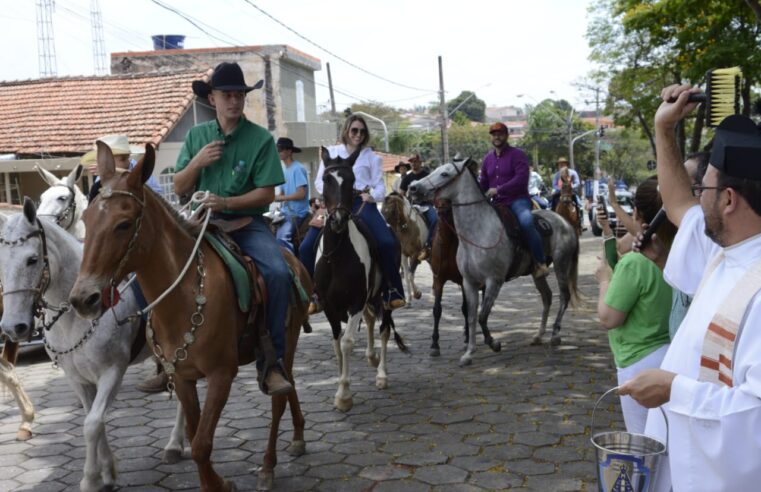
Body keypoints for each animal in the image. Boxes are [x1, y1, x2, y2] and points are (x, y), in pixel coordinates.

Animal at [69, 143, 312, 492]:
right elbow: (197, 435)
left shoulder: (222, 375)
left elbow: (200, 445)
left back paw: (268, 466)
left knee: (279, 396)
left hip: (287, 342)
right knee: (289, 389)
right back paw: (298, 436)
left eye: (124, 224)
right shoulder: (182, 377)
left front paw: (222, 483)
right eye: (87, 219)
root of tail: (294, 261)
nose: (82, 298)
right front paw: (214, 482)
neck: (182, 299)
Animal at [406, 158, 580, 366]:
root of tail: (565, 223)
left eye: (445, 173)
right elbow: (472, 317)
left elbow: (482, 316)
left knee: (564, 296)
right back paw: (538, 336)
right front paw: (469, 353)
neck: (479, 232)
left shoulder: (493, 281)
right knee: (547, 297)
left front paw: (493, 343)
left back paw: (555, 334)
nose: (413, 187)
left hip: (562, 264)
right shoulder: (469, 283)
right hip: (537, 274)